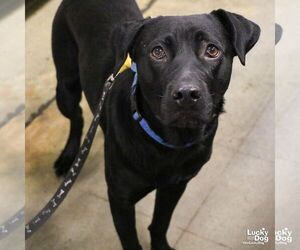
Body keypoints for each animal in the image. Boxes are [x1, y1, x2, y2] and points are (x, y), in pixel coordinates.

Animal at [51, 0, 260, 249]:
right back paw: (68, 155)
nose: (187, 94)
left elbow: (160, 223)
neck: (167, 142)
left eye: (212, 50)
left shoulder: (176, 185)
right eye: (157, 51)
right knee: (77, 116)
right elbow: (130, 240)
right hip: (66, 87)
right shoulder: (120, 199)